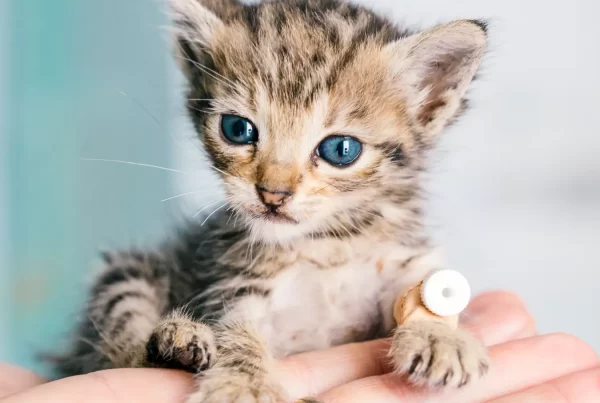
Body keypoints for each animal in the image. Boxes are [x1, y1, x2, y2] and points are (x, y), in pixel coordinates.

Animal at [52, 0, 492, 403]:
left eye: (341, 150)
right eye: (237, 129)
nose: (272, 194)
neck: (324, 244)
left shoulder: (398, 259)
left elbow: (426, 292)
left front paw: (438, 338)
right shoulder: (232, 287)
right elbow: (235, 333)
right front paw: (243, 384)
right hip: (125, 274)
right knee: (113, 351)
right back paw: (175, 340)